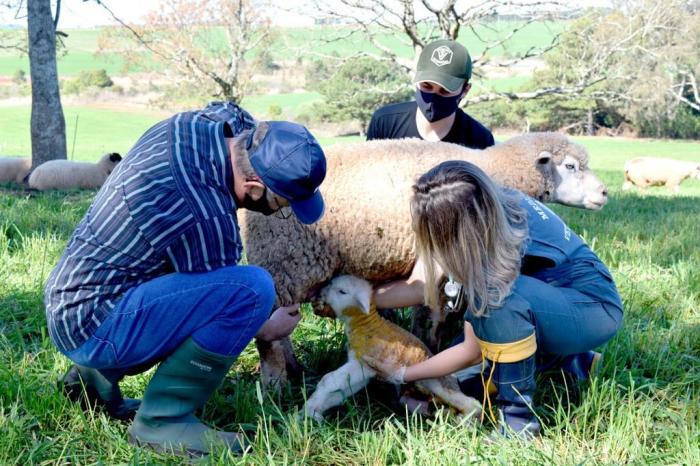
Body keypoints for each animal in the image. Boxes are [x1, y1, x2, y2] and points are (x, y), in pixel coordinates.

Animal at [304, 274, 484, 422]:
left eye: (342, 291)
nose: (320, 293)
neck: (365, 324)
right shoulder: (363, 368)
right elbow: (342, 388)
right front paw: (313, 411)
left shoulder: (365, 364)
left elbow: (328, 380)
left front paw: (309, 410)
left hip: (438, 382)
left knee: (473, 403)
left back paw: (465, 420)